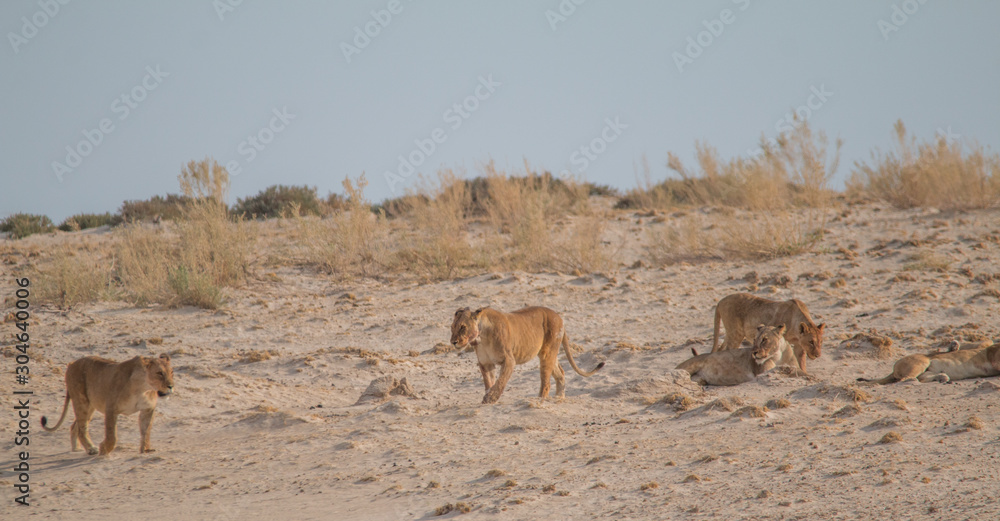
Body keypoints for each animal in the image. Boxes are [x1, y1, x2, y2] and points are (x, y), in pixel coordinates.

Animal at [41, 354, 174, 455]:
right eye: (159, 373)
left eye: (171, 372)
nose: (171, 386)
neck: (143, 388)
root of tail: (72, 363)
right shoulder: (111, 408)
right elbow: (112, 436)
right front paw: (104, 449)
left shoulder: (148, 409)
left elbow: (146, 431)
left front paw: (145, 450)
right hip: (82, 401)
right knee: (82, 429)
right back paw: (91, 449)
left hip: (90, 406)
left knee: (75, 426)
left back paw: (76, 449)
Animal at [451, 306, 604, 404]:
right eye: (452, 328)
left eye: (463, 327)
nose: (453, 342)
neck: (481, 338)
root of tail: (558, 316)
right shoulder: (486, 363)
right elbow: (489, 382)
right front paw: (488, 397)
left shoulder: (509, 360)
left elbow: (500, 382)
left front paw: (490, 398)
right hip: (548, 354)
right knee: (560, 373)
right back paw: (558, 398)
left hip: (547, 353)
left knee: (546, 383)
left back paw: (539, 400)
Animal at [857, 343, 1000, 385]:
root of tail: (893, 368)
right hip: (922, 362)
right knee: (906, 378)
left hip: (927, 369)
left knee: (922, 378)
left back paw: (943, 377)